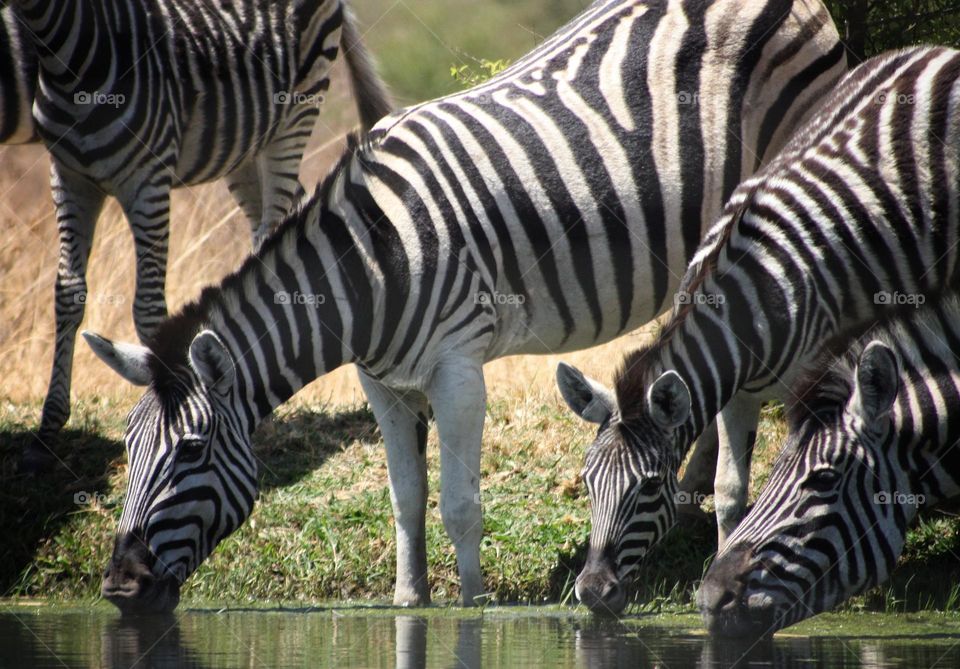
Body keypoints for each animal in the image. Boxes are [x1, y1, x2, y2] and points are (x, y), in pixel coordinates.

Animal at [9, 0, 392, 471]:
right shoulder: (67, 177)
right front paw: (46, 433)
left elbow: (148, 307)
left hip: (294, 115)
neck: (69, 57)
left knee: (274, 227)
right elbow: (67, 292)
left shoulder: (147, 179)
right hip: (244, 143)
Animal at [79, 0, 845, 613]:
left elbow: (459, 505)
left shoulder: (458, 369)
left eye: (191, 450)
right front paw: (407, 602)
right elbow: (406, 500)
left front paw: (470, 609)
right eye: (126, 449)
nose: (118, 585)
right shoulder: (381, 383)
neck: (373, 267)